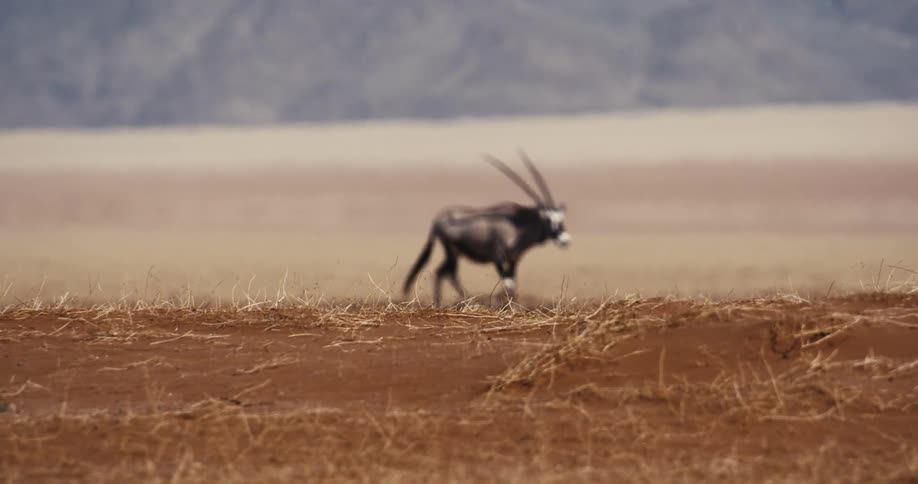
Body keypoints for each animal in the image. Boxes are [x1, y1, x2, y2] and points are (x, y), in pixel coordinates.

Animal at [402, 151, 570, 306]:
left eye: (562, 220)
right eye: (549, 220)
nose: (565, 240)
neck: (518, 224)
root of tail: (439, 219)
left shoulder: (514, 258)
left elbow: (513, 281)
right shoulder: (498, 257)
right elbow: (508, 282)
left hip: (454, 254)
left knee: (442, 272)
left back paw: (445, 301)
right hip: (452, 252)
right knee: (448, 273)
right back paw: (465, 299)